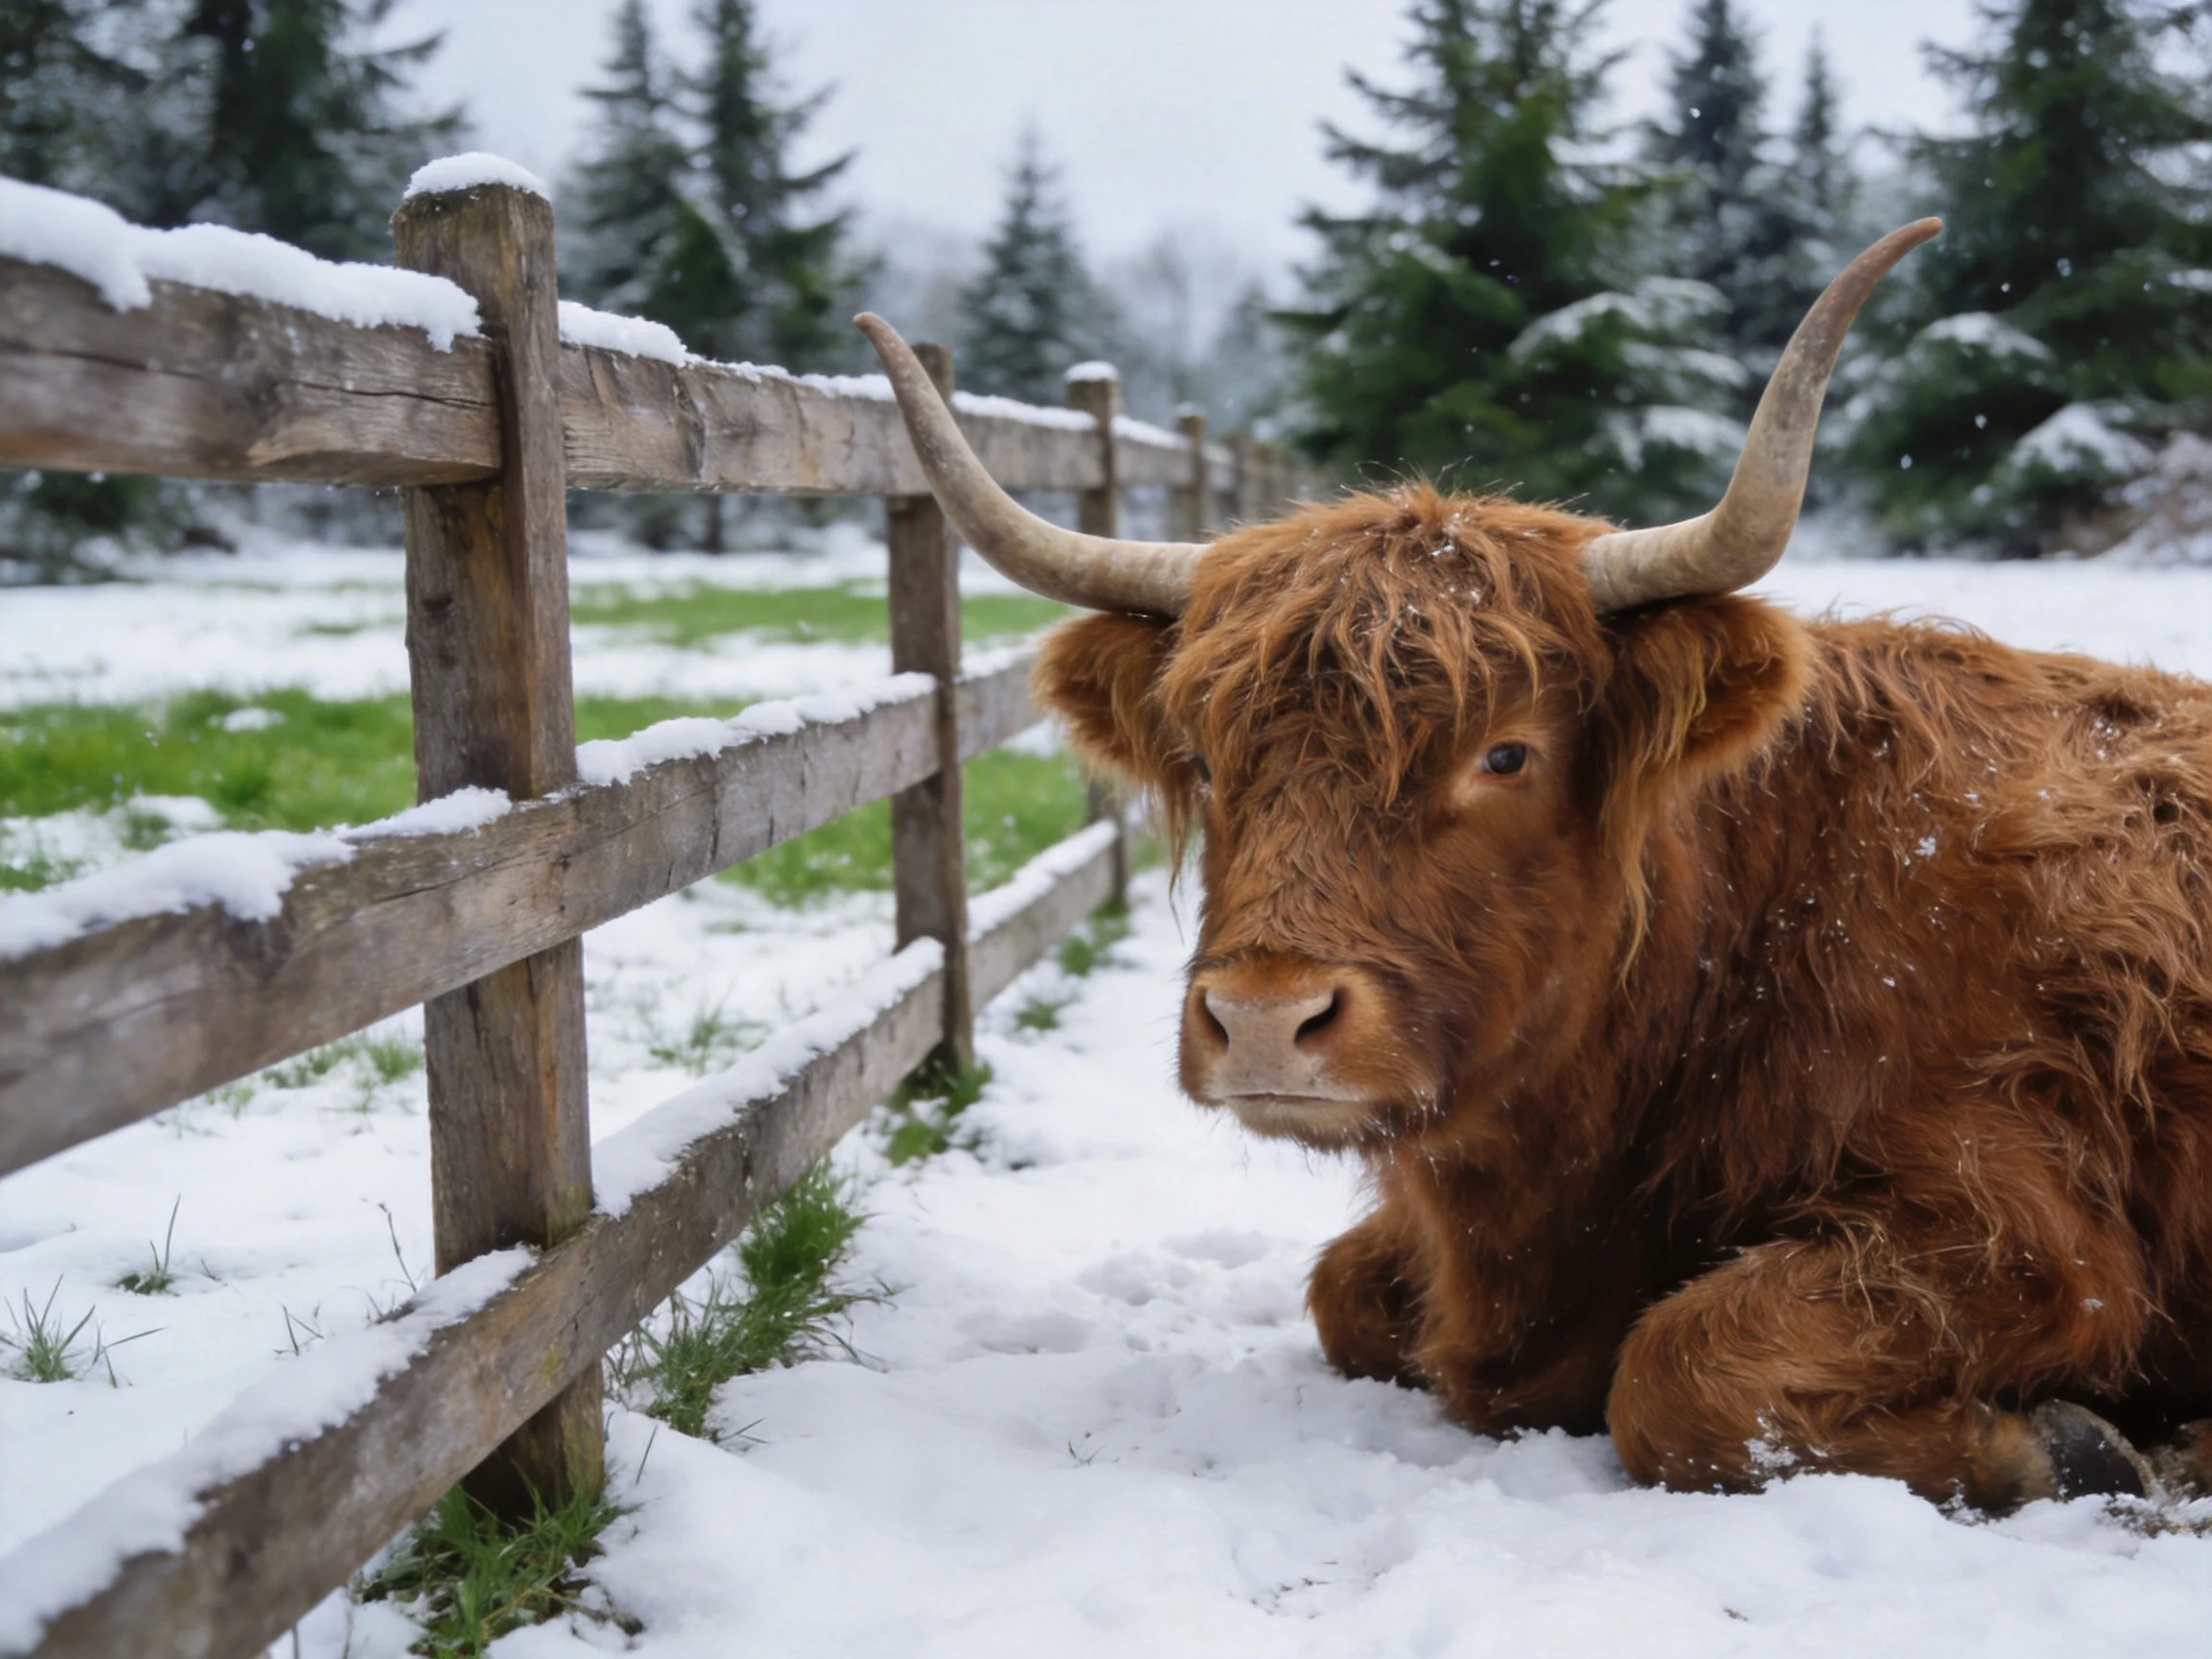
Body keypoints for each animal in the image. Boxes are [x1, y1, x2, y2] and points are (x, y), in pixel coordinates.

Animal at [854, 219, 2212, 1512]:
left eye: (1506, 752)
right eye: (1200, 755)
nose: (1264, 1018)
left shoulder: (2025, 1231)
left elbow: (1684, 1367)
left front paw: (2077, 1450)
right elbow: (1344, 1293)